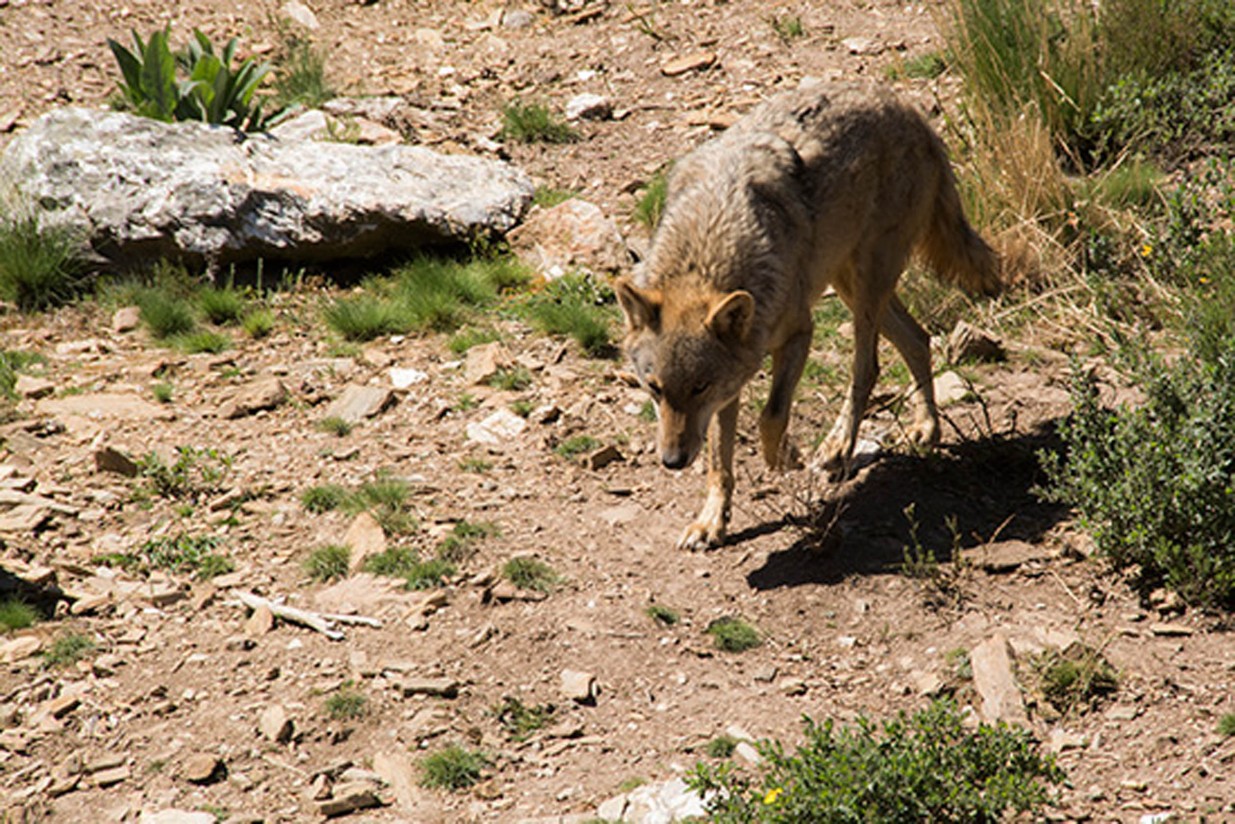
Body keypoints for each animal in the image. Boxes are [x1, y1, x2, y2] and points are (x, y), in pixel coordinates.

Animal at [612, 84, 997, 550]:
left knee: (869, 367)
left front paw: (787, 458)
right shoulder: (732, 385)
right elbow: (719, 463)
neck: (708, 249)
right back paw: (927, 428)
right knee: (918, 339)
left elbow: (771, 417)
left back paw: (838, 448)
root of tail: (907, 108)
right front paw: (711, 522)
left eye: (699, 387)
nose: (671, 460)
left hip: (865, 289)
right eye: (654, 388)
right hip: (851, 284)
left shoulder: (798, 334)